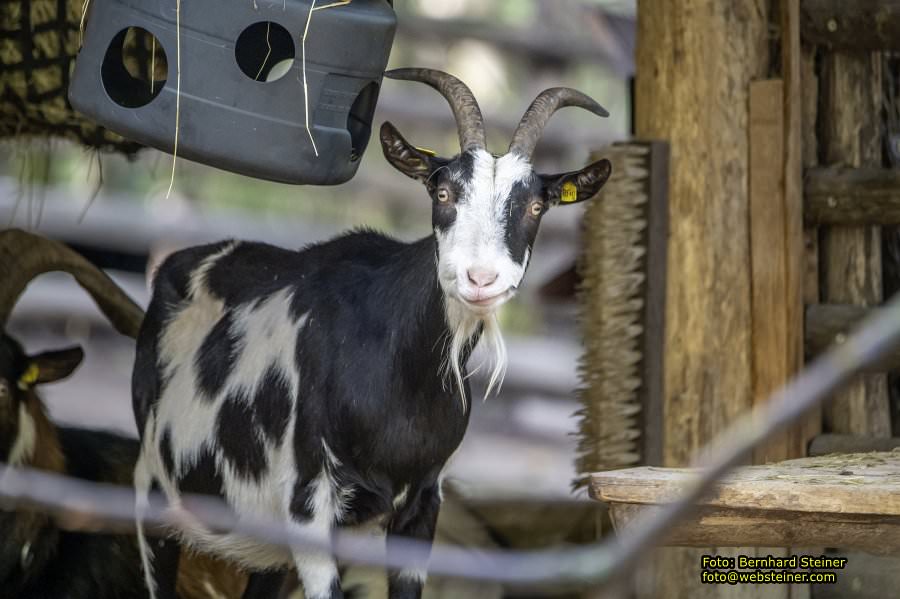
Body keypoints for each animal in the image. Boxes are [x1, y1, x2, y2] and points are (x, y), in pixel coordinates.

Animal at [134, 68, 612, 596]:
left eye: (534, 207)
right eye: (442, 194)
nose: (481, 279)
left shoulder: (422, 504)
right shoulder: (309, 506)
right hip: (153, 492)